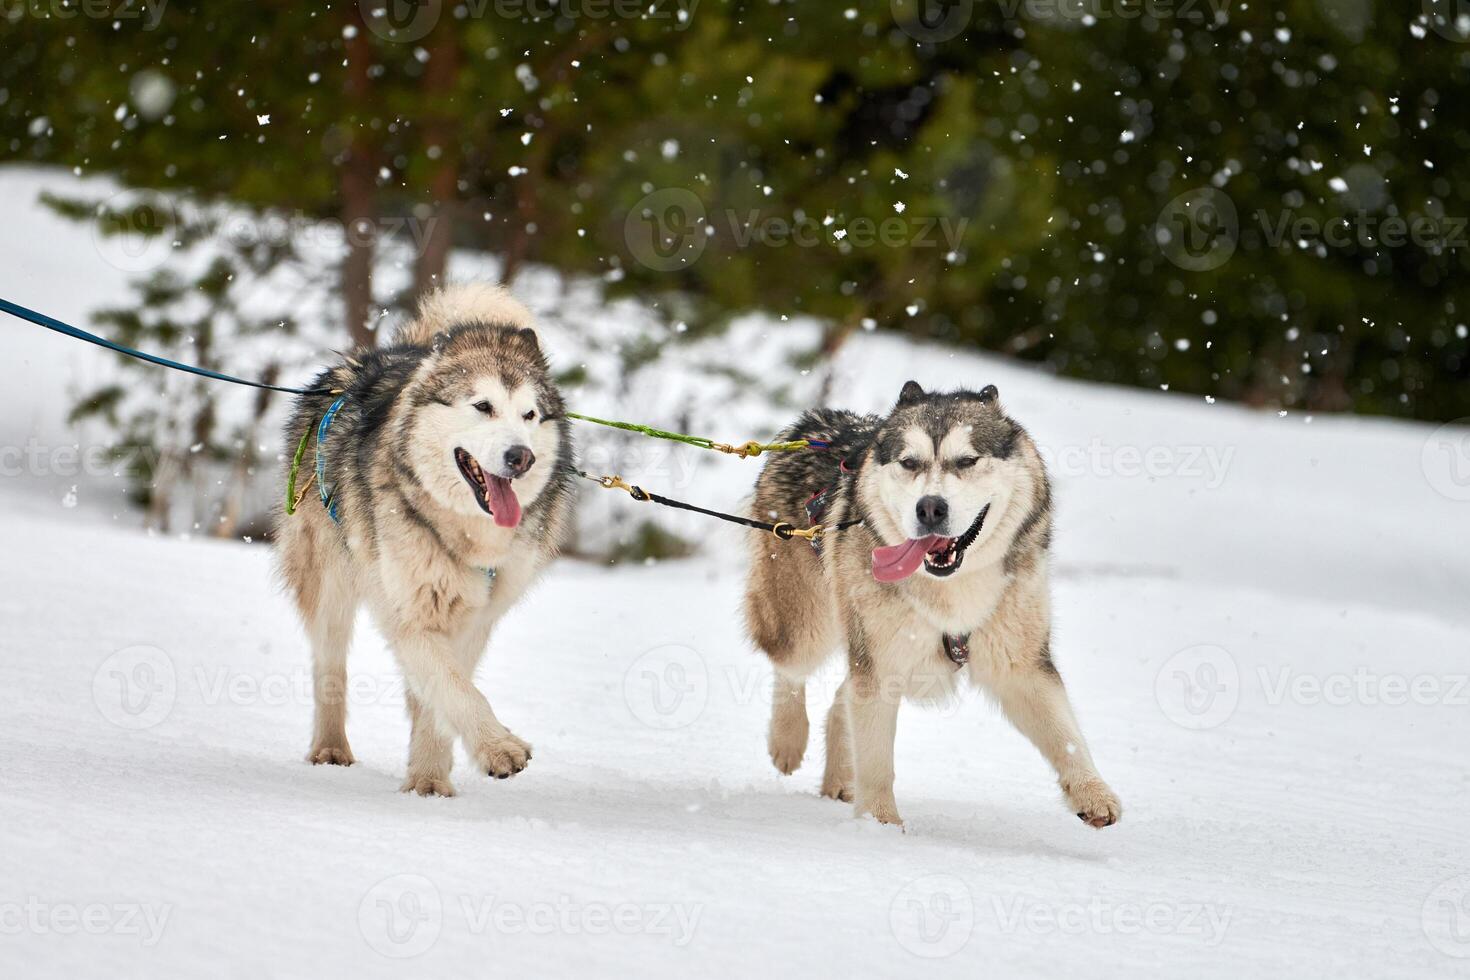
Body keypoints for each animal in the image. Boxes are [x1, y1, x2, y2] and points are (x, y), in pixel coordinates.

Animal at [276, 283, 573, 799]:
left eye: (530, 414)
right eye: (483, 406)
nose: (521, 456)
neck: (464, 536)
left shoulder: (476, 621)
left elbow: (447, 692)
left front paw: (429, 782)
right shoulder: (408, 614)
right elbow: (456, 689)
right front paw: (498, 748)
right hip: (331, 585)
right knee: (330, 665)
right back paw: (330, 750)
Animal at [740, 382, 1117, 828]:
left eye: (967, 460)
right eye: (909, 462)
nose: (930, 507)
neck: (950, 587)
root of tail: (816, 422)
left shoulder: (1020, 664)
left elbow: (1066, 736)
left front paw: (1092, 791)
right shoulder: (881, 666)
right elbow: (877, 762)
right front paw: (880, 826)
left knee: (840, 699)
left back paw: (840, 778)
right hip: (807, 625)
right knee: (791, 669)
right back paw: (787, 739)